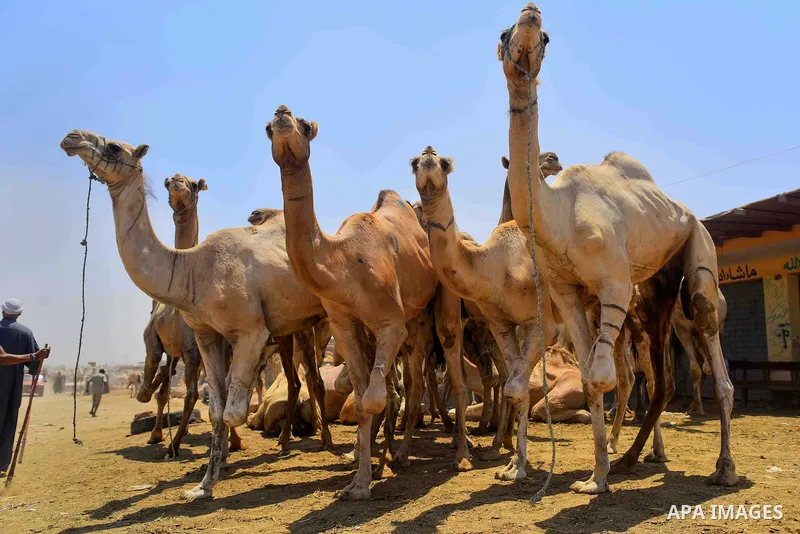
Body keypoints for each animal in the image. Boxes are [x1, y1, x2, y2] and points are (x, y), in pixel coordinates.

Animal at [60, 130, 332, 500]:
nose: (72, 138)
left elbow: (233, 412)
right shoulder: (206, 334)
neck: (193, 269)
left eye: (115, 147)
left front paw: (219, 461)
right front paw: (202, 486)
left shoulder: (250, 332)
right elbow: (216, 409)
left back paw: (330, 445)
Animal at [266, 105, 472, 500]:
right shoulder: (343, 325)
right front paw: (358, 481)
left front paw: (371, 474)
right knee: (416, 382)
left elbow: (375, 398)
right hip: (415, 322)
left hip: (444, 301)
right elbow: (362, 400)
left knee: (453, 365)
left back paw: (462, 457)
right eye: (269, 128)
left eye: (304, 126)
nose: (282, 112)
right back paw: (402, 454)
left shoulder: (389, 322)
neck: (344, 262)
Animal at [498, 3, 736, 492]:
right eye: (503, 32)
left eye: (545, 37)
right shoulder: (566, 296)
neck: (555, 216)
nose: (530, 13)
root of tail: (684, 210)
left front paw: (598, 473)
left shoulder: (613, 283)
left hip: (697, 247)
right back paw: (629, 459)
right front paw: (596, 478)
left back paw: (724, 469)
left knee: (710, 342)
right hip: (658, 291)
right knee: (661, 379)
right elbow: (592, 380)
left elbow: (603, 375)